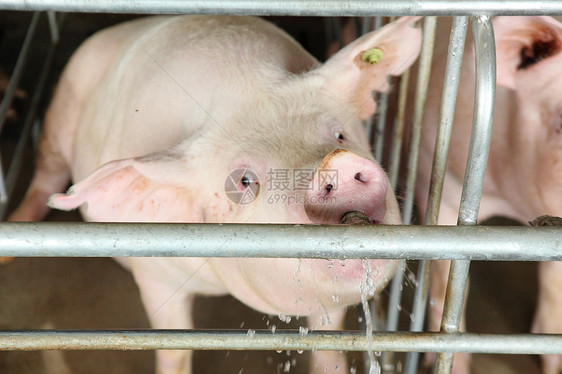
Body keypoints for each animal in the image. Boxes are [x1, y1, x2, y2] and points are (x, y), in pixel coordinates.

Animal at [6, 14, 420, 374]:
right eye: (244, 181)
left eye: (339, 134)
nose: (336, 165)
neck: (242, 84)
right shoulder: (154, 272)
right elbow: (174, 348)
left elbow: (330, 343)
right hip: (61, 107)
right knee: (47, 175)